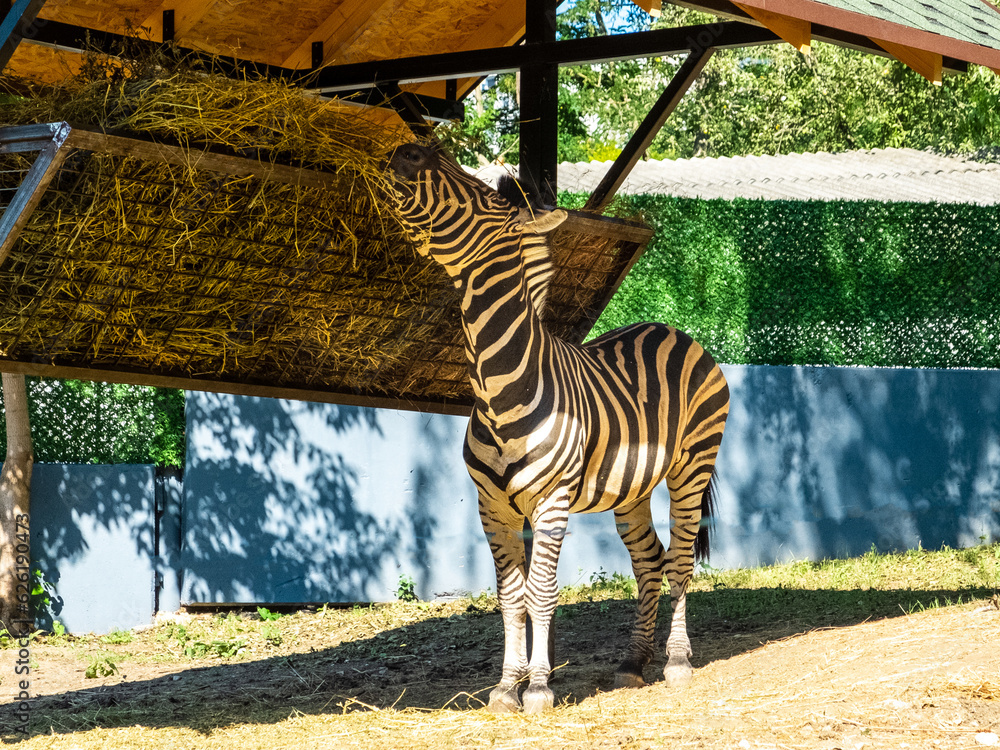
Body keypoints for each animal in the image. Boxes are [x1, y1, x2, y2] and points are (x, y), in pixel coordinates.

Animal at [387, 143, 729, 714]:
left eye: (483, 198)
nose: (409, 151)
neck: (503, 389)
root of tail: (668, 329)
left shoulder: (551, 502)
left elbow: (541, 593)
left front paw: (540, 688)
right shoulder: (493, 509)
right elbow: (511, 597)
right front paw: (507, 687)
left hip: (692, 466)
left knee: (680, 560)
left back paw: (677, 661)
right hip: (632, 489)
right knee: (650, 562)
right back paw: (633, 662)